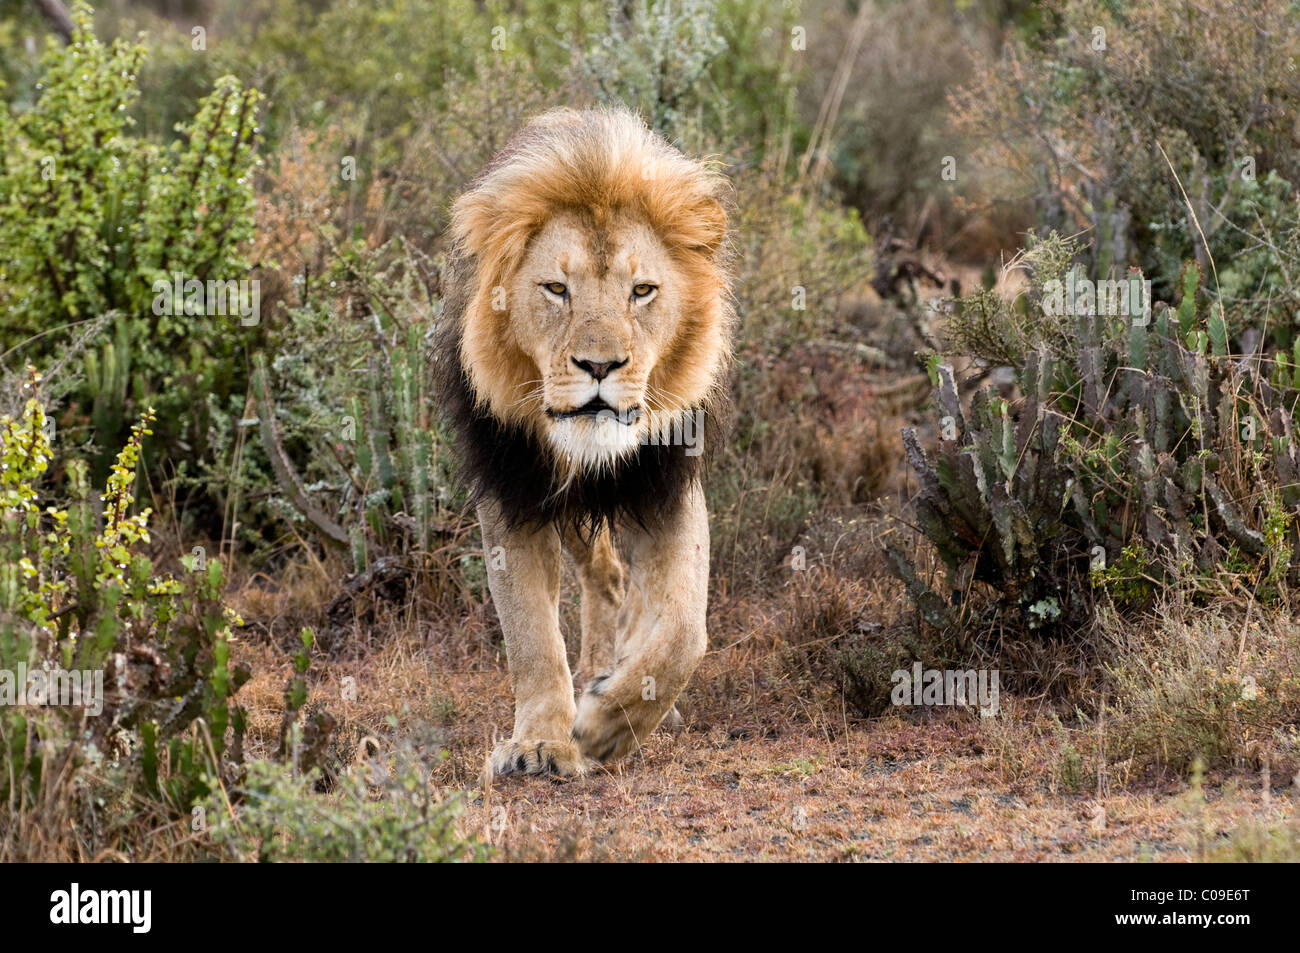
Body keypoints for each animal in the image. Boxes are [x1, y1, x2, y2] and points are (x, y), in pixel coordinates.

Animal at [432, 107, 733, 777]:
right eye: (555, 289)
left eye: (642, 291)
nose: (600, 366)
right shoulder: (513, 491)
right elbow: (531, 636)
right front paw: (542, 742)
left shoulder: (667, 484)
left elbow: (683, 630)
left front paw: (607, 726)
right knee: (606, 577)